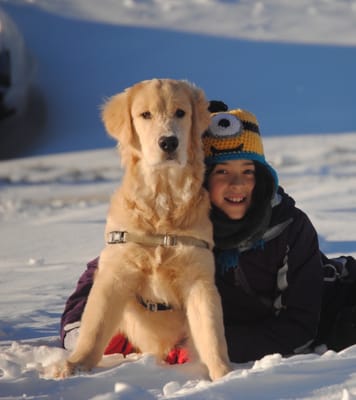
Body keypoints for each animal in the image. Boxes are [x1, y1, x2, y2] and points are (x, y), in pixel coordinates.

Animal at [53, 78, 231, 382]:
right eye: (145, 114)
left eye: (181, 113)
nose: (169, 142)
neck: (162, 202)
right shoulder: (115, 272)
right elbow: (95, 326)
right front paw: (74, 365)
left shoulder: (199, 278)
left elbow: (211, 333)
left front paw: (225, 376)